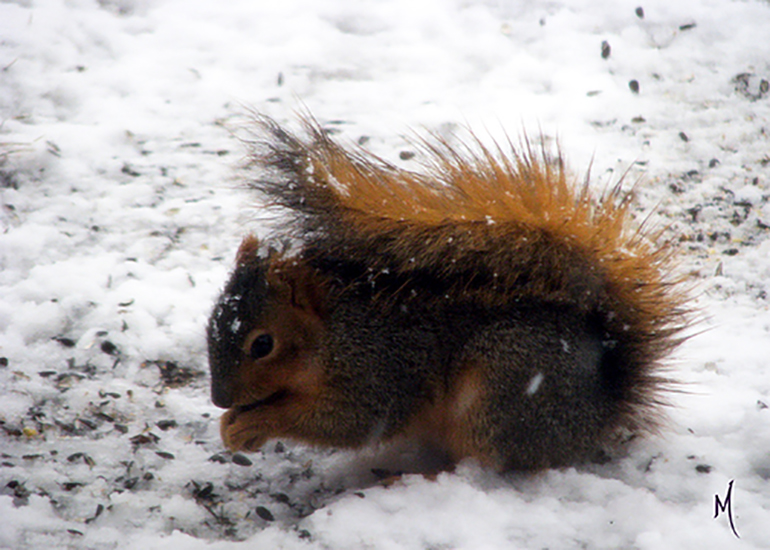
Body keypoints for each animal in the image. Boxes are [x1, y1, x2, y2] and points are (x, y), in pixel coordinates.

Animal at [206, 115, 688, 471]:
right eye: (212, 323)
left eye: (262, 344)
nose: (219, 400)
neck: (333, 332)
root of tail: (604, 404)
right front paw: (232, 423)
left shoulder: (379, 368)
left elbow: (350, 421)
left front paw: (255, 423)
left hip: (497, 395)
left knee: (489, 465)